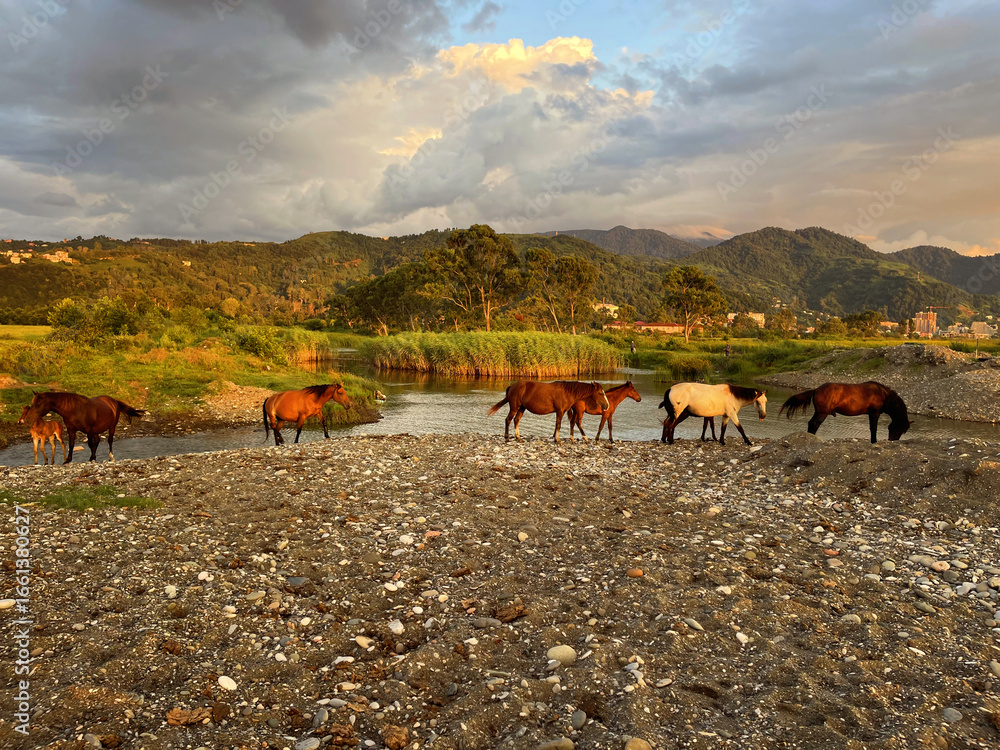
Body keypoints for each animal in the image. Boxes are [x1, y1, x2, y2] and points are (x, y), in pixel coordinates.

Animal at [779, 381, 911, 443]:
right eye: (901, 429)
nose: (893, 440)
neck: (883, 394)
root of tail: (816, 389)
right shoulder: (874, 412)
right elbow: (873, 428)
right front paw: (874, 441)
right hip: (822, 413)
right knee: (814, 424)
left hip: (819, 412)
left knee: (811, 423)